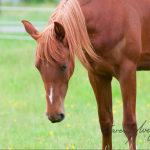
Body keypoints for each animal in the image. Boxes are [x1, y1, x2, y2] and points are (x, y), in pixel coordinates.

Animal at [21, 0, 150, 149]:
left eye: (64, 66)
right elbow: (105, 122)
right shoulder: (98, 76)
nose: (54, 115)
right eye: (38, 67)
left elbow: (130, 125)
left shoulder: (127, 73)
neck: (108, 17)